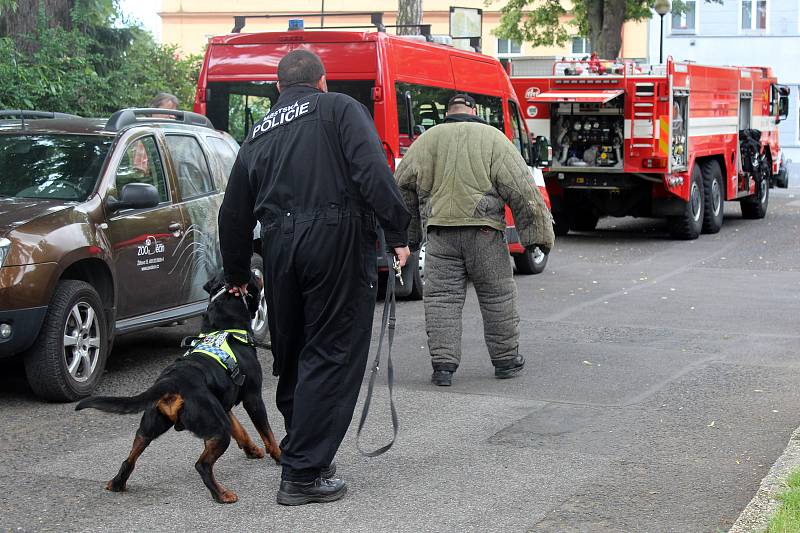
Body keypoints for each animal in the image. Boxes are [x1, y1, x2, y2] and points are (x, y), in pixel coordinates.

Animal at [76, 274, 282, 502]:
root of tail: (171, 381)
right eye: (254, 278)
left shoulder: (224, 406)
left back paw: (117, 483)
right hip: (217, 428)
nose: (258, 274)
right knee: (202, 465)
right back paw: (221, 494)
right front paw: (280, 456)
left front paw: (252, 450)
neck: (224, 327)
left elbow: (241, 429)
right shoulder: (253, 398)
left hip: (151, 425)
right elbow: (268, 433)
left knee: (130, 459)